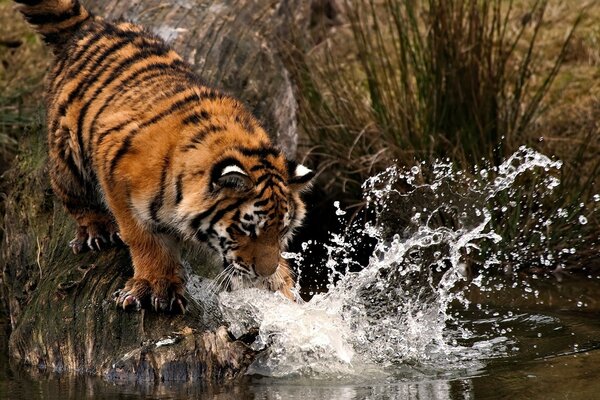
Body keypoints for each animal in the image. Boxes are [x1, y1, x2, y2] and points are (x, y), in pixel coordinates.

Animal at [14, 0, 314, 312]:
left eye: (282, 231)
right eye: (248, 229)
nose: (264, 272)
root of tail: (92, 23)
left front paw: (283, 288)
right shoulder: (117, 178)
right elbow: (144, 239)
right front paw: (156, 286)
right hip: (68, 152)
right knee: (71, 192)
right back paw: (96, 230)